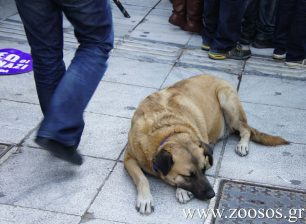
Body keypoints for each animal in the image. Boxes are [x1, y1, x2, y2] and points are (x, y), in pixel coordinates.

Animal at [123, 74, 288, 214]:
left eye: (204, 170)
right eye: (188, 176)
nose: (212, 194)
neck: (168, 132)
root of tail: (218, 77)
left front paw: (182, 191)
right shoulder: (128, 158)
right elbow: (142, 179)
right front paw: (145, 199)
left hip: (227, 101)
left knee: (245, 129)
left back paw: (242, 145)